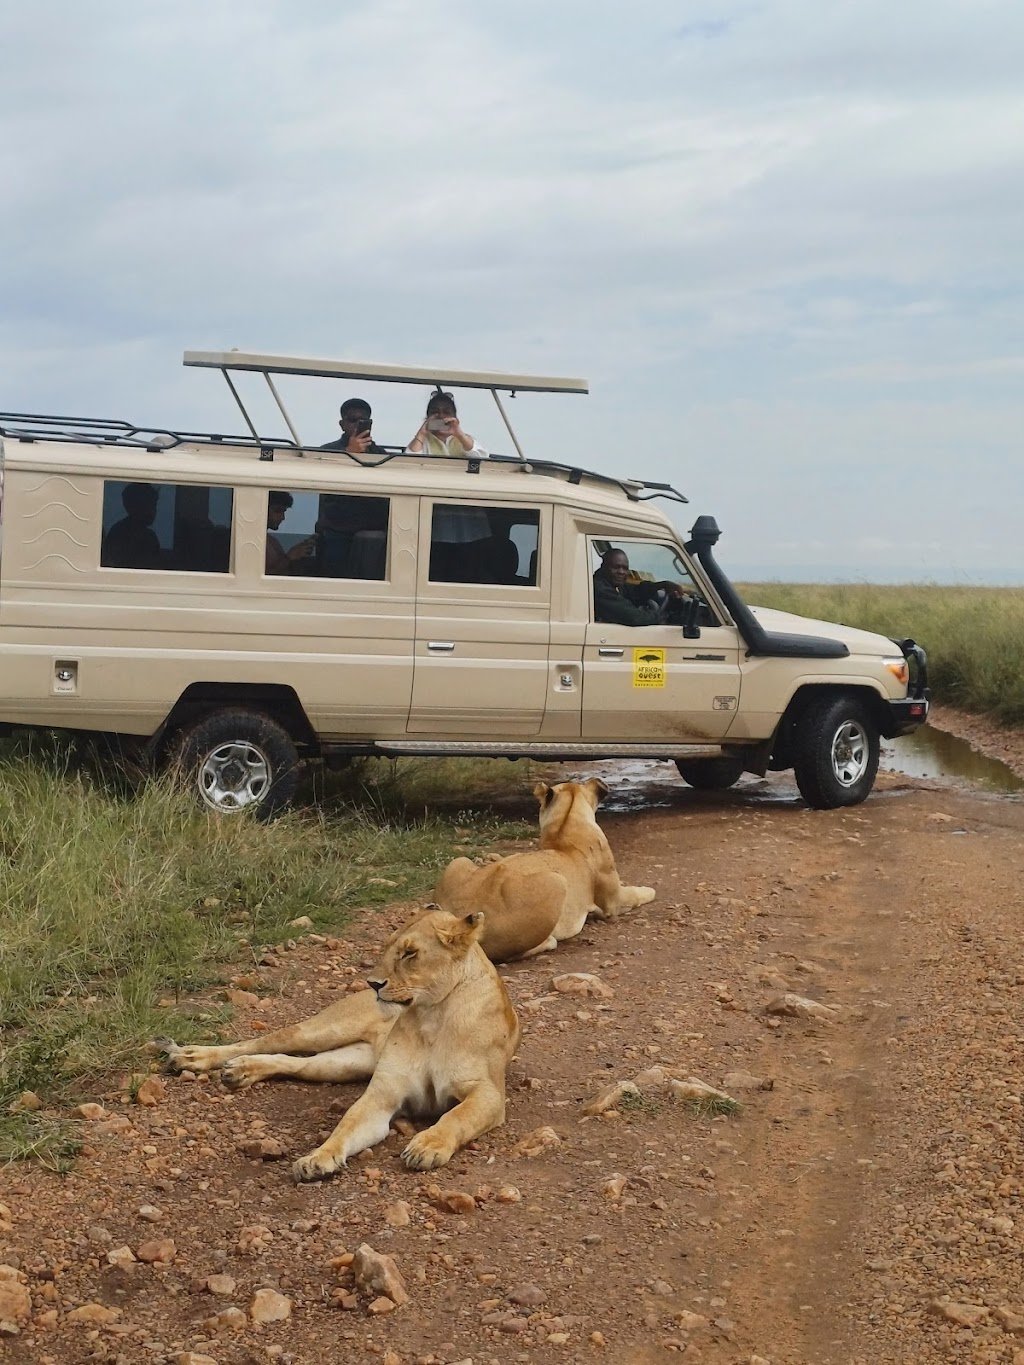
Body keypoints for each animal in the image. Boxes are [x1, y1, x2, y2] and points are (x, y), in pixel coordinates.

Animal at [150, 908, 520, 1180]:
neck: (432, 1015)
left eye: (410, 953)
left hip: (345, 1064)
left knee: (295, 1063)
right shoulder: (382, 1093)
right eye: (389, 948)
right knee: (264, 1041)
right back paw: (191, 1057)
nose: (373, 983)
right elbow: (347, 1123)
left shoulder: (487, 1092)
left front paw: (427, 1146)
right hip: (320, 1030)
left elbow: (456, 1116)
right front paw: (318, 1157)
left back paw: (240, 1072)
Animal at [433, 777, 656, 963]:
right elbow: (637, 894)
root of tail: (456, 921)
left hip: (458, 861)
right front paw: (649, 890)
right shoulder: (613, 903)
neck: (565, 824)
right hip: (556, 883)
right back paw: (549, 941)